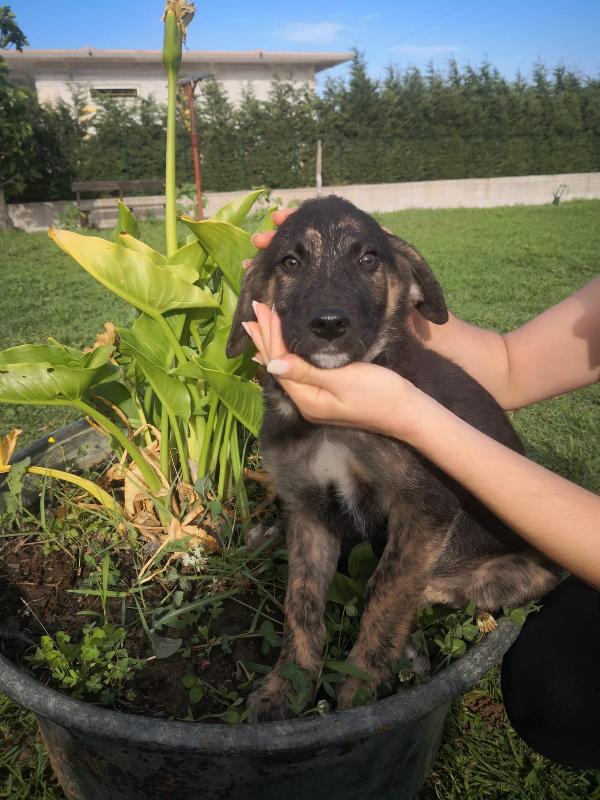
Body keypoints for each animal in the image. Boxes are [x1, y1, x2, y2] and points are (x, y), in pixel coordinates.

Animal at [227, 197, 560, 720]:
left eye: (368, 259)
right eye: (291, 262)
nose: (329, 324)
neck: (333, 429)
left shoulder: (425, 509)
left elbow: (387, 590)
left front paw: (362, 686)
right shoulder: (306, 510)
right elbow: (301, 603)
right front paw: (287, 687)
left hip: (517, 570)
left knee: (428, 589)